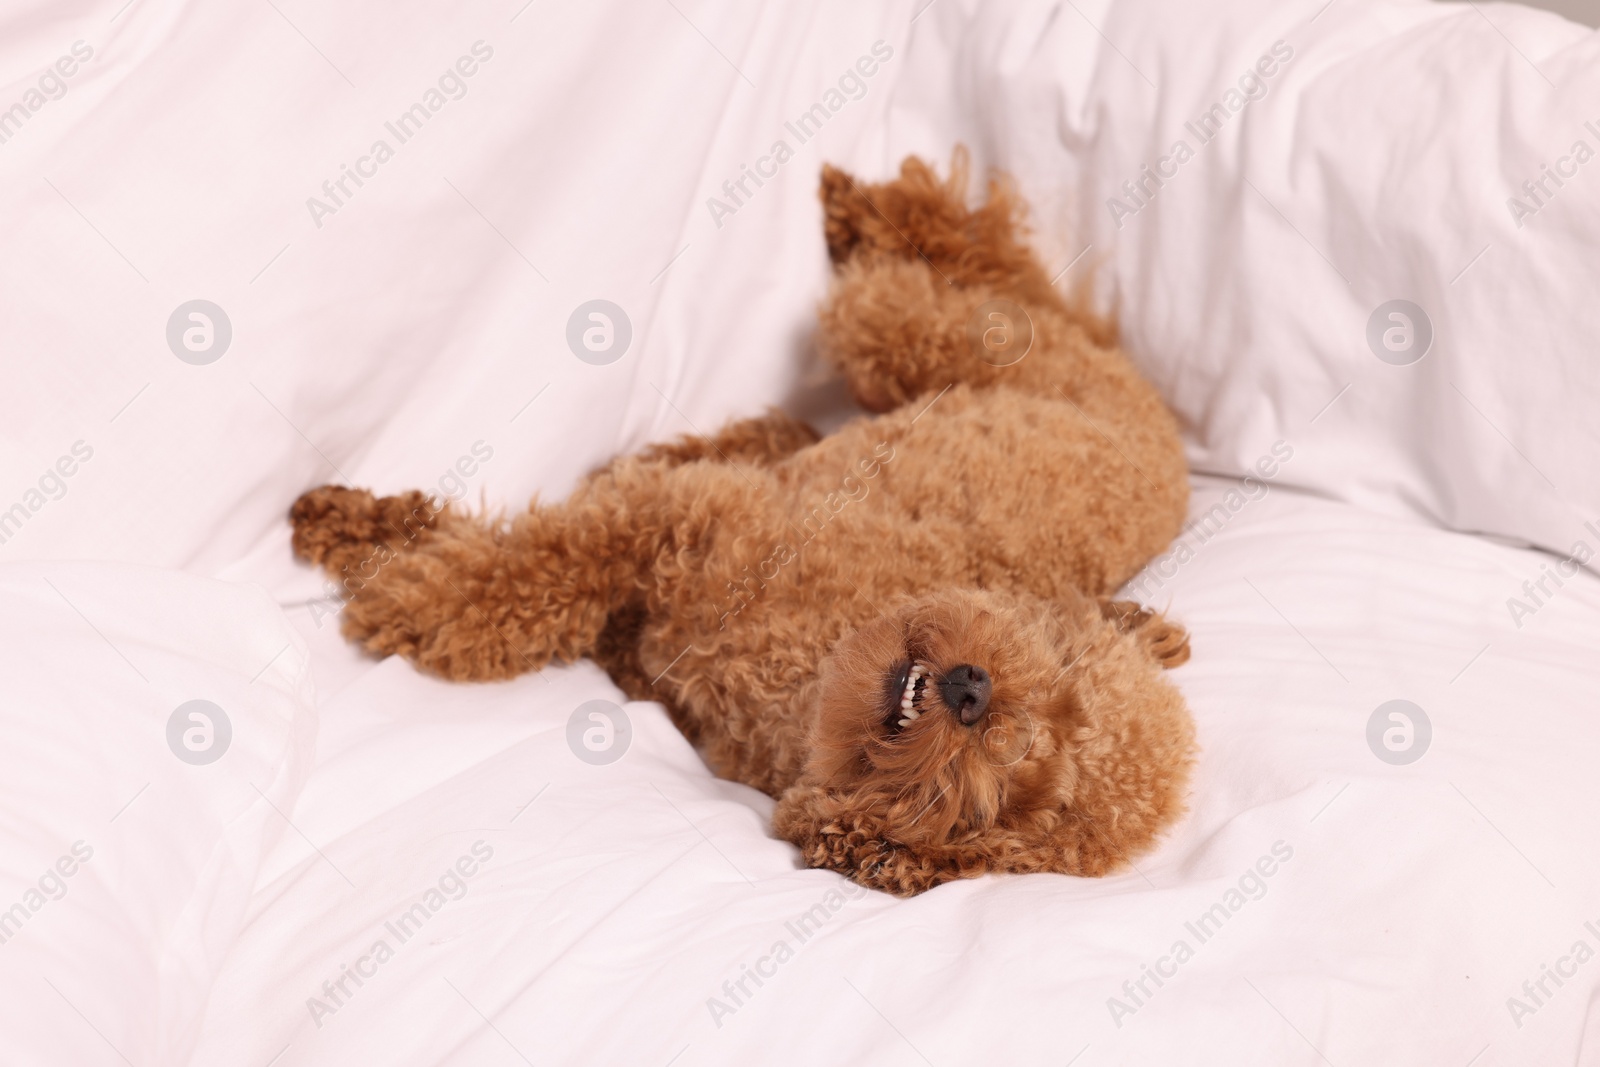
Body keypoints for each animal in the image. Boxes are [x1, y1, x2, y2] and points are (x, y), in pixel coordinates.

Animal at [288, 150, 1196, 895]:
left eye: (1011, 791)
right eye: (1050, 665)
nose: (972, 689)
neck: (802, 676)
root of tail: (1159, 421)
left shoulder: (657, 613)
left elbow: (528, 579)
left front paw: (393, 582)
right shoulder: (676, 521)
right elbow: (540, 558)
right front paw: (368, 536)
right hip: (925, 337)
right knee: (966, 256)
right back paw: (855, 206)